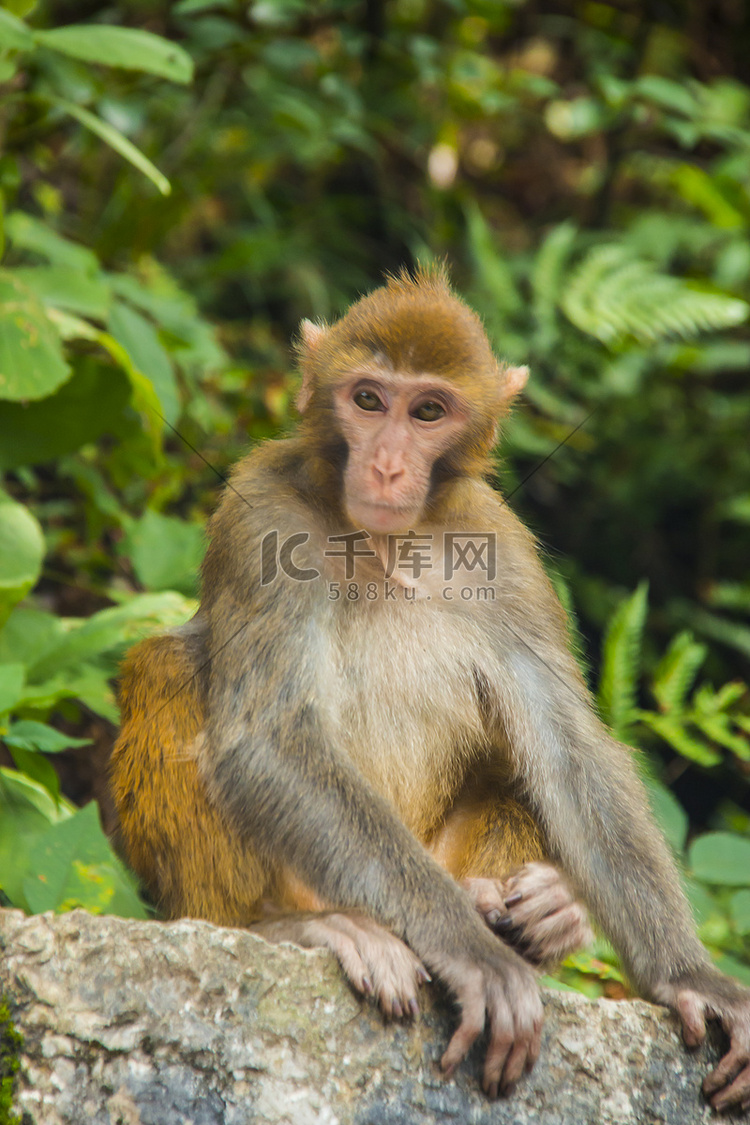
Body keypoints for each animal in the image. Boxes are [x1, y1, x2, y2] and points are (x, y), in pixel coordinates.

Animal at [111, 265, 750, 1107]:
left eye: (428, 412)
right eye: (368, 399)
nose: (386, 464)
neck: (387, 541)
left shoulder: (500, 544)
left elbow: (568, 746)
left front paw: (690, 975)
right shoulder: (261, 516)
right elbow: (269, 737)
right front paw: (472, 953)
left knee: (515, 773)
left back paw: (530, 911)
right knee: (167, 666)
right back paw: (286, 926)